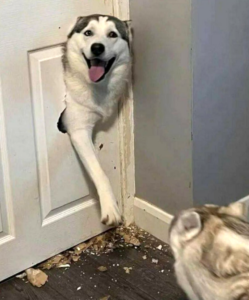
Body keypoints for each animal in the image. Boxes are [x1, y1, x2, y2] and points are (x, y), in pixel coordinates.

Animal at [58, 14, 131, 225]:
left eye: (112, 34)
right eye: (88, 32)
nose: (97, 47)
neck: (97, 88)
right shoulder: (78, 129)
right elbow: (100, 172)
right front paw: (110, 207)